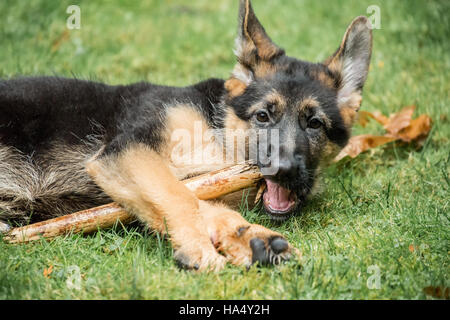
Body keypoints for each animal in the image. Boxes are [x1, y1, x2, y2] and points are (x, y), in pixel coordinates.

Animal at [0, 0, 372, 270]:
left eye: (315, 124)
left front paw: (250, 237)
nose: (284, 170)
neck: (218, 130)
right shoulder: (128, 153)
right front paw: (199, 247)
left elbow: (199, 202)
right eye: (263, 116)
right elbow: (176, 194)